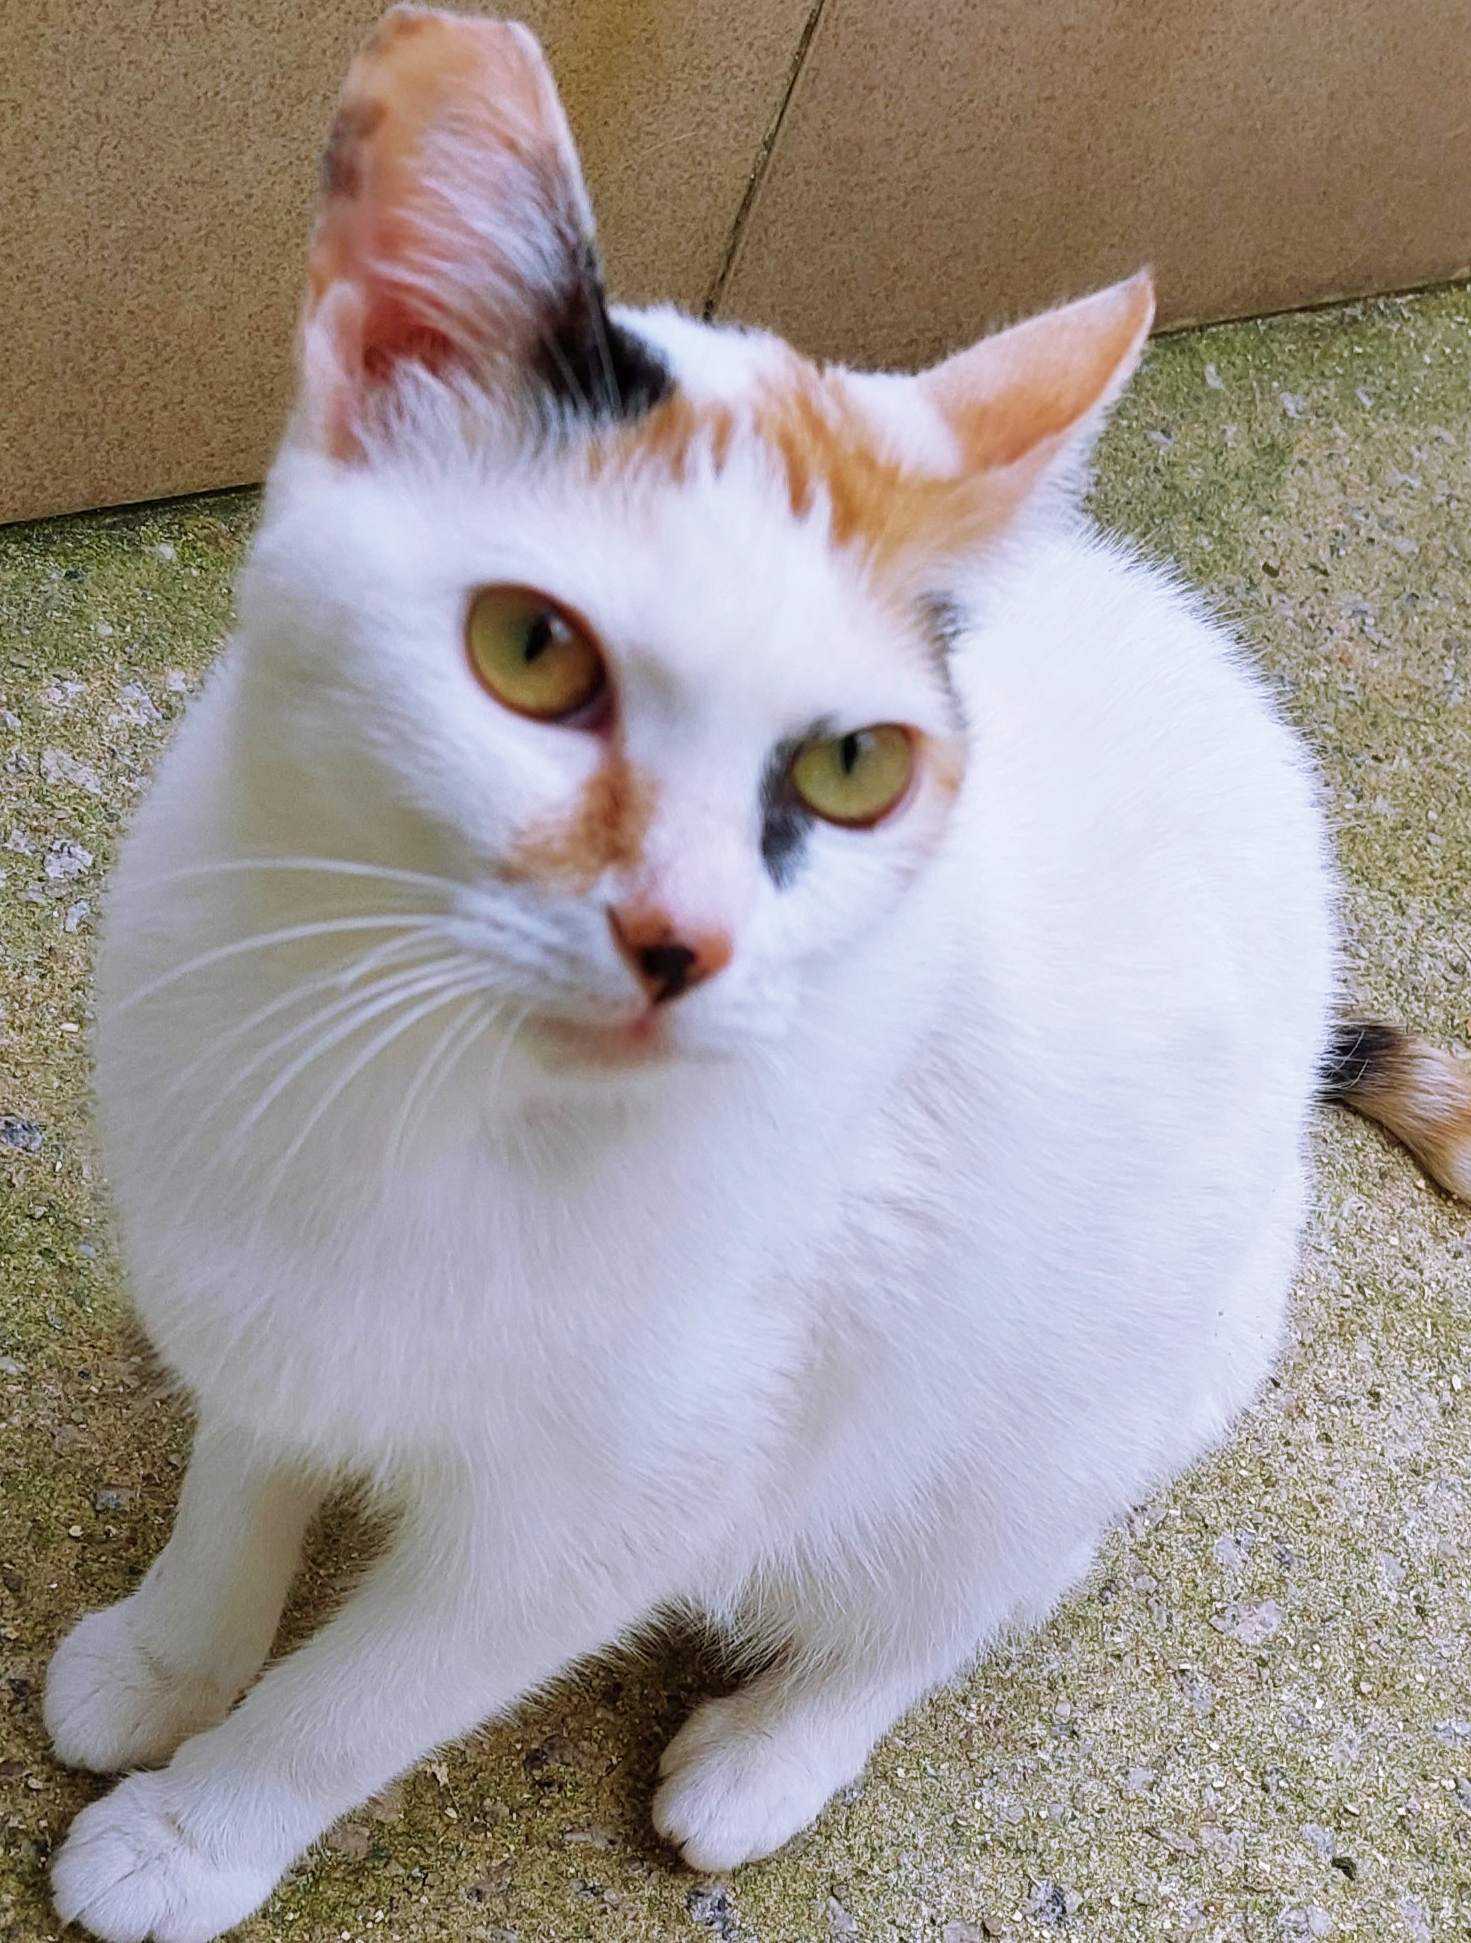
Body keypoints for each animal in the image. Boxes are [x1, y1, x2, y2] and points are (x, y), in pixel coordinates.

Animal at [40, 7, 1461, 1935]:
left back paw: (779, 1744)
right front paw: (168, 1661)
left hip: (1057, 1402)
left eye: (852, 767)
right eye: (529, 652)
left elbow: (359, 1701)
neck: (405, 1071)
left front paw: (197, 1828)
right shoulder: (272, 1316)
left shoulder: (595, 1517)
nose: (683, 937)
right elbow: (233, 1492)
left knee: (977, 1581)